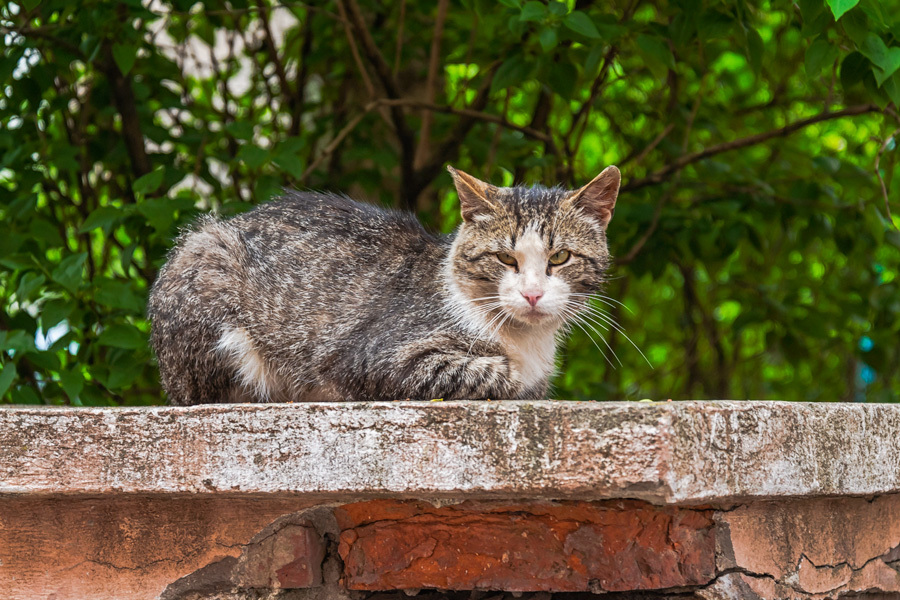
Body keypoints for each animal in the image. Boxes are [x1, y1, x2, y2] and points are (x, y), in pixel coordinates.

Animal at [149, 166, 624, 406]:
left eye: (560, 258)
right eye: (506, 258)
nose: (532, 293)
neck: (527, 341)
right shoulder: (372, 358)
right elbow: (497, 374)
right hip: (206, 259)